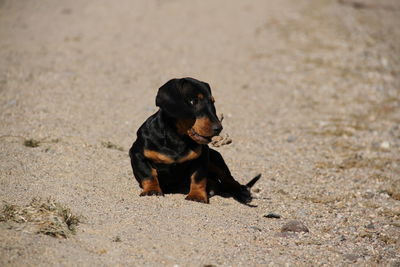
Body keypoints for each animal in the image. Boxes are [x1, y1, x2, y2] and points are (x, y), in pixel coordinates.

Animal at [128, 77, 260, 205]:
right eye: (193, 101)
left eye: (212, 102)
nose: (219, 128)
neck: (177, 140)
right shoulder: (137, 154)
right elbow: (148, 174)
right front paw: (152, 190)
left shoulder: (202, 157)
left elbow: (198, 178)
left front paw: (197, 196)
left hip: (215, 160)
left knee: (229, 180)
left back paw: (241, 193)